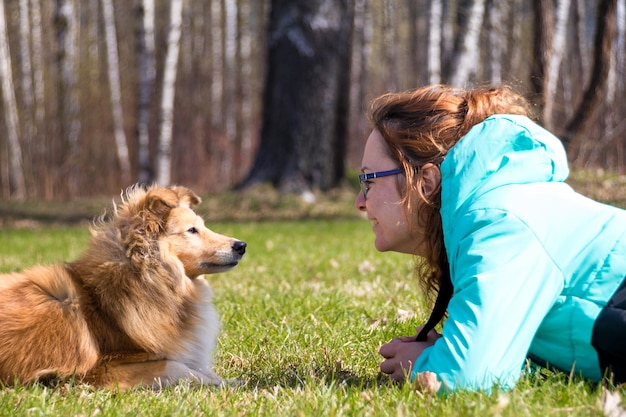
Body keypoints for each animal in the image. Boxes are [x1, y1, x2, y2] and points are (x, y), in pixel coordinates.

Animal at [0, 184, 246, 388]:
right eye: (192, 230)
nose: (241, 245)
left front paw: (231, 380)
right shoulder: (99, 370)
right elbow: (176, 366)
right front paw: (221, 383)